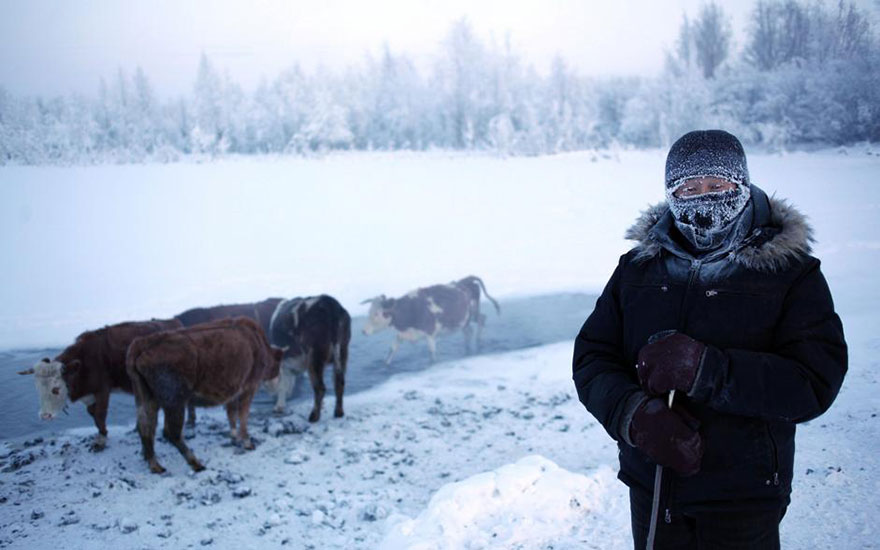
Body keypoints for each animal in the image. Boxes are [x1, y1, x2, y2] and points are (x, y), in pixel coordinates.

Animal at [15, 320, 186, 452]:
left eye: (56, 389)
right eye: (38, 388)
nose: (45, 416)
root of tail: (174, 322)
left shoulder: (102, 390)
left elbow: (99, 415)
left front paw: (101, 440)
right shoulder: (89, 394)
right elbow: (92, 414)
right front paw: (101, 434)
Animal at [124, 316, 280, 476]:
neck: (257, 341)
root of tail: (141, 344)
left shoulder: (233, 393)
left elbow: (231, 415)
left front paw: (234, 437)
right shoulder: (249, 387)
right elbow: (242, 416)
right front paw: (247, 442)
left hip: (146, 398)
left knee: (145, 426)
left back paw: (154, 464)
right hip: (175, 401)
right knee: (170, 432)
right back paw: (196, 463)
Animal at [360, 276, 502, 366]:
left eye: (377, 314)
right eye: (369, 311)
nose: (363, 331)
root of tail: (466, 280)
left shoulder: (430, 334)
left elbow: (432, 355)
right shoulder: (402, 334)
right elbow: (391, 351)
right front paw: (385, 365)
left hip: (473, 313)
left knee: (481, 320)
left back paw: (478, 342)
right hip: (465, 319)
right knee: (470, 330)